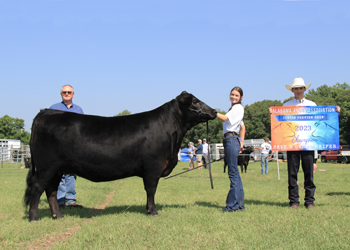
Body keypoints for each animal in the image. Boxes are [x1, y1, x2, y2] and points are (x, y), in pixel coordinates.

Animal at [23, 91, 216, 222]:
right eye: (195, 101)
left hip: (56, 169)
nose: (214, 111)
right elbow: (151, 190)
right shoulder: (153, 167)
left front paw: (148, 209)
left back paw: (59, 215)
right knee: (37, 187)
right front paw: (152, 211)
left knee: (51, 190)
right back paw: (34, 217)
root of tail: (46, 112)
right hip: (47, 167)